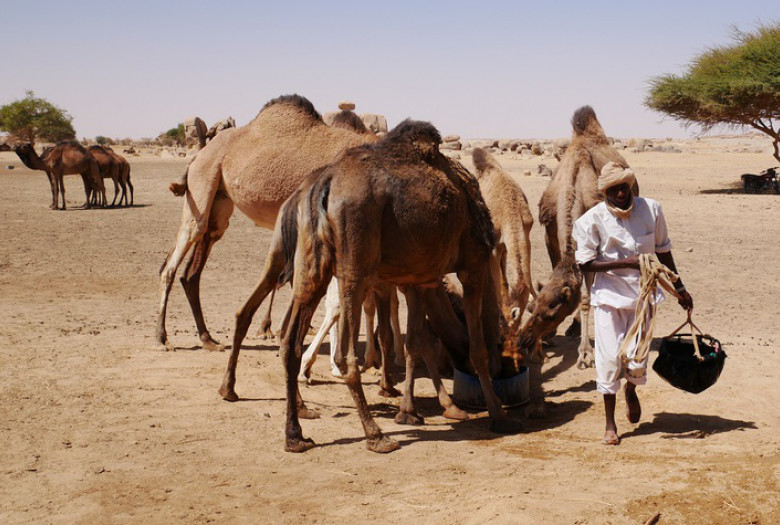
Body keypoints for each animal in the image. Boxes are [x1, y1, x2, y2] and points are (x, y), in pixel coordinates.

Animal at [157, 94, 376, 352]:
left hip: (219, 203)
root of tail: (196, 157)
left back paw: (208, 338)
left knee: (192, 271)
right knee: (173, 262)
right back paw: (162, 338)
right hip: (201, 185)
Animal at [216, 117, 520, 450]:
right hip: (353, 262)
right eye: (508, 347)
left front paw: (409, 411)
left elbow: (416, 342)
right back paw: (375, 434)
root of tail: (321, 185)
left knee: (286, 339)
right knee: (345, 352)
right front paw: (497, 414)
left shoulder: (418, 278)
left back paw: (293, 431)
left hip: (311, 267)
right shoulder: (473, 263)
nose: (509, 369)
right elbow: (476, 348)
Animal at [516, 107, 632, 414]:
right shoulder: (550, 228)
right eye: (532, 308)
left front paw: (586, 355)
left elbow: (586, 298)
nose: (526, 339)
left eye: (551, 313)